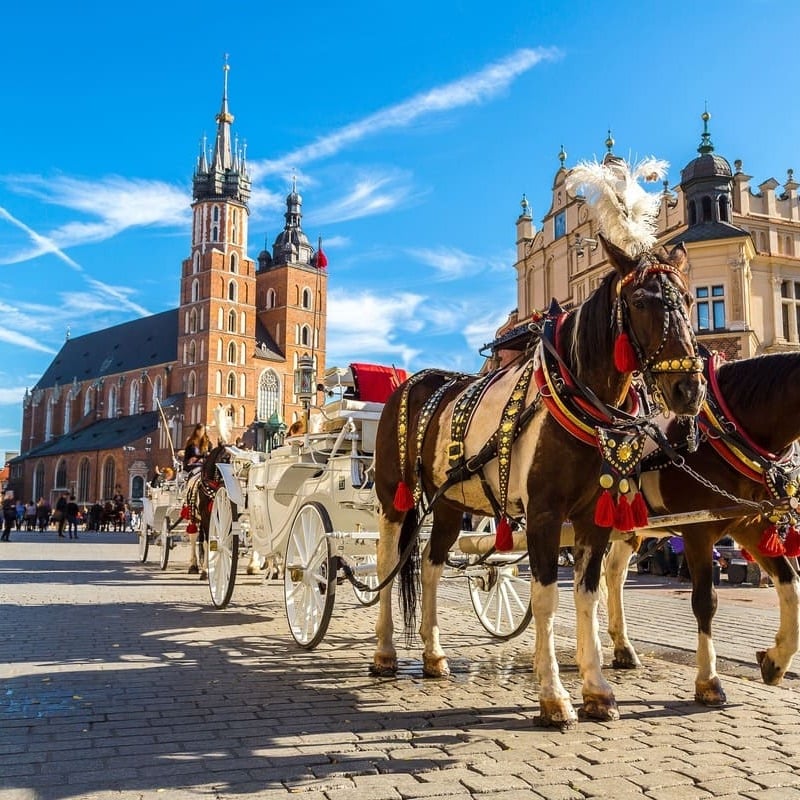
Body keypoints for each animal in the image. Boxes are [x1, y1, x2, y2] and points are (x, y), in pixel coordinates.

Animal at [372, 234, 704, 728]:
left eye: (689, 299)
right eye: (641, 302)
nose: (689, 390)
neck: (575, 399)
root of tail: (412, 382)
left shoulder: (593, 518)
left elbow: (587, 594)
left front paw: (597, 690)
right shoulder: (545, 515)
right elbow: (546, 597)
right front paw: (554, 696)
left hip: (449, 504)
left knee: (430, 566)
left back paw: (434, 655)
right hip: (395, 498)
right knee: (387, 564)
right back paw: (384, 652)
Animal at [608, 354, 800, 704]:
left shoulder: (749, 525)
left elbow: (790, 583)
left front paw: (776, 659)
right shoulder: (698, 531)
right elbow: (704, 601)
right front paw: (708, 680)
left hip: (629, 528)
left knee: (613, 574)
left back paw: (623, 648)